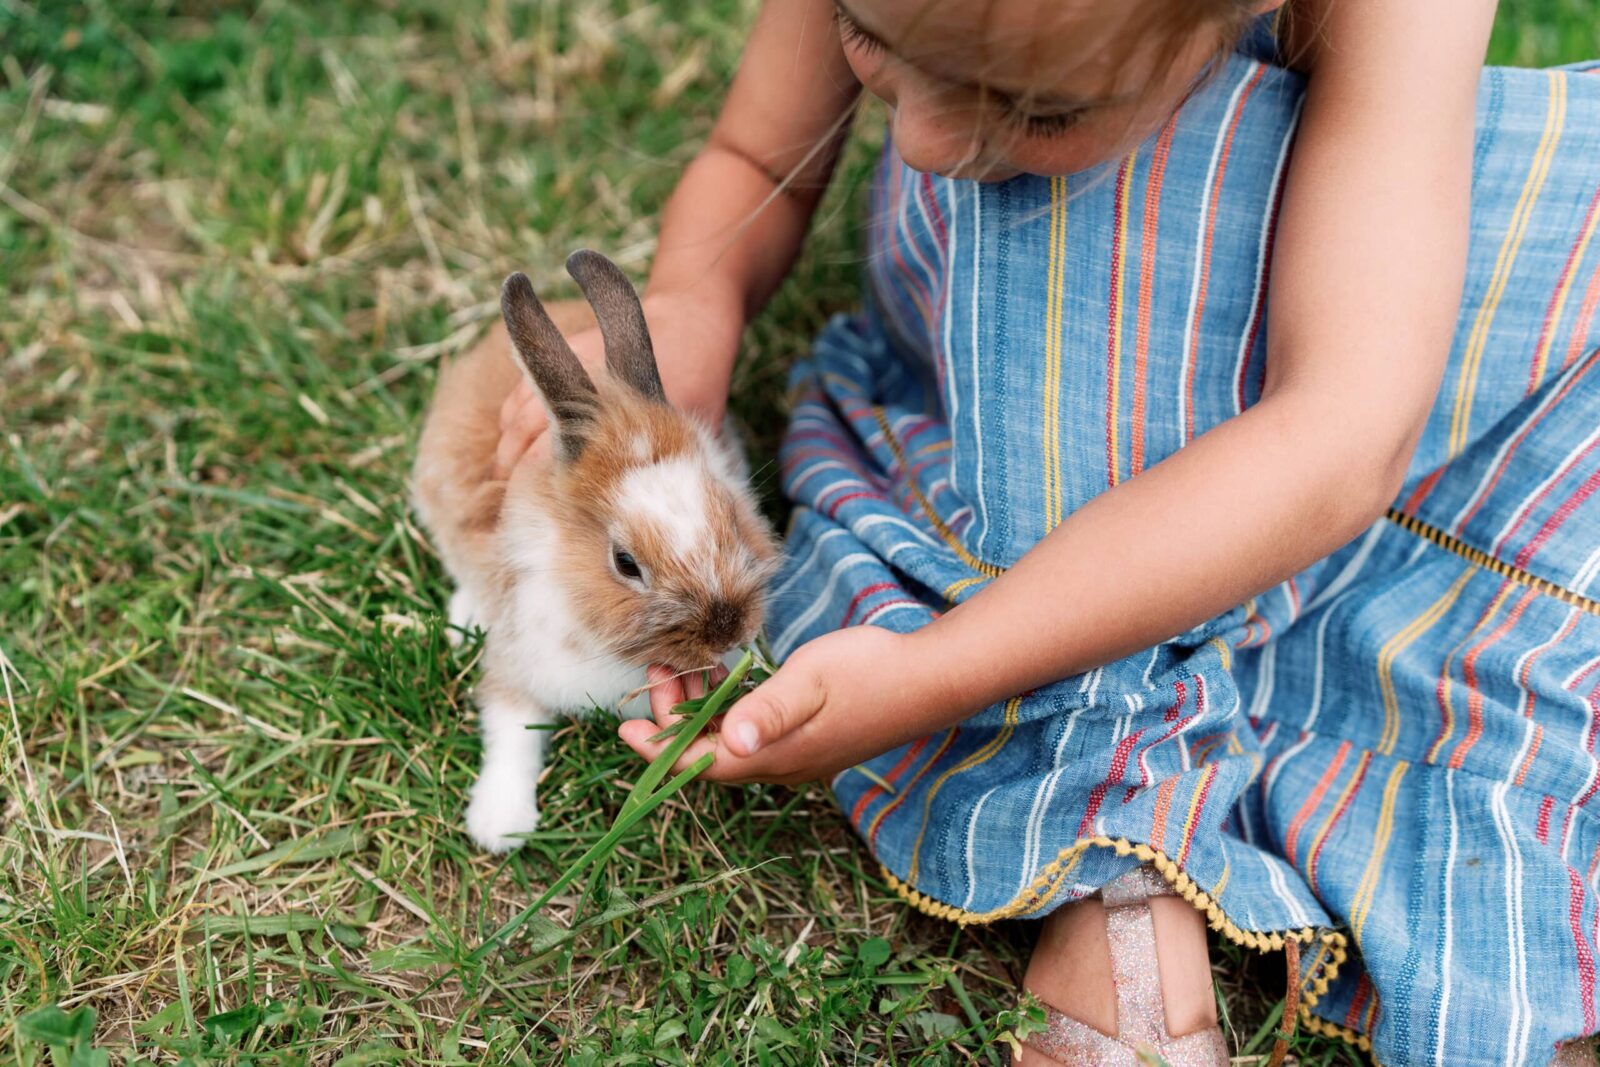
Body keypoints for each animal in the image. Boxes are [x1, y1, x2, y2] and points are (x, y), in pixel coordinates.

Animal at [412, 250, 778, 852]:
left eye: (728, 509)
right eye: (625, 564)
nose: (728, 632)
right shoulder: (516, 665)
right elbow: (511, 733)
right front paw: (500, 826)